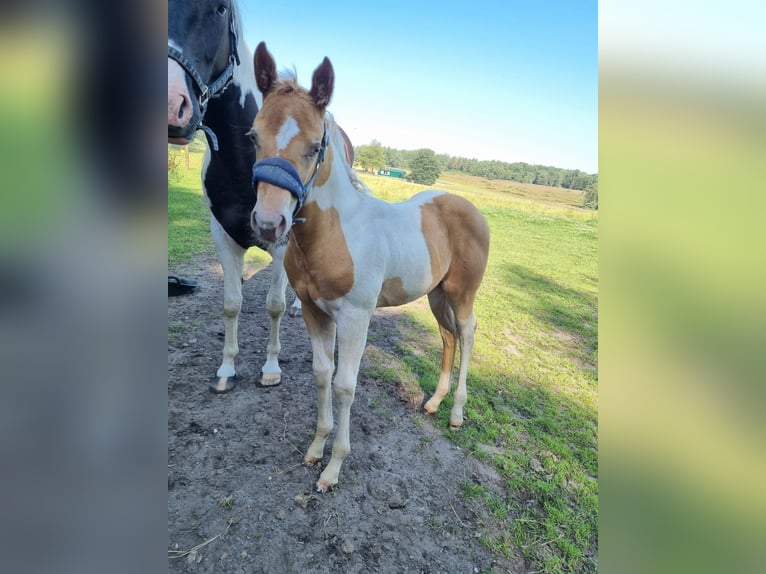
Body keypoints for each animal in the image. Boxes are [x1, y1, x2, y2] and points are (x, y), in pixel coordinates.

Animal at [168, 0, 354, 394]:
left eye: (220, 9)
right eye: (252, 135)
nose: (170, 101)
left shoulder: (283, 243)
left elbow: (274, 305)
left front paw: (270, 367)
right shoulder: (224, 237)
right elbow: (231, 304)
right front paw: (226, 369)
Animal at [252, 42, 492, 492]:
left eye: (315, 145)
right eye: (253, 136)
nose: (268, 223)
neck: (333, 233)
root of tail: (469, 206)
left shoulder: (355, 316)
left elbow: (345, 386)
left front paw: (333, 468)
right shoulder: (313, 311)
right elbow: (321, 374)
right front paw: (316, 448)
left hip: (461, 292)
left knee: (467, 333)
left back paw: (456, 413)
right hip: (435, 294)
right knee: (447, 336)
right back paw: (434, 402)